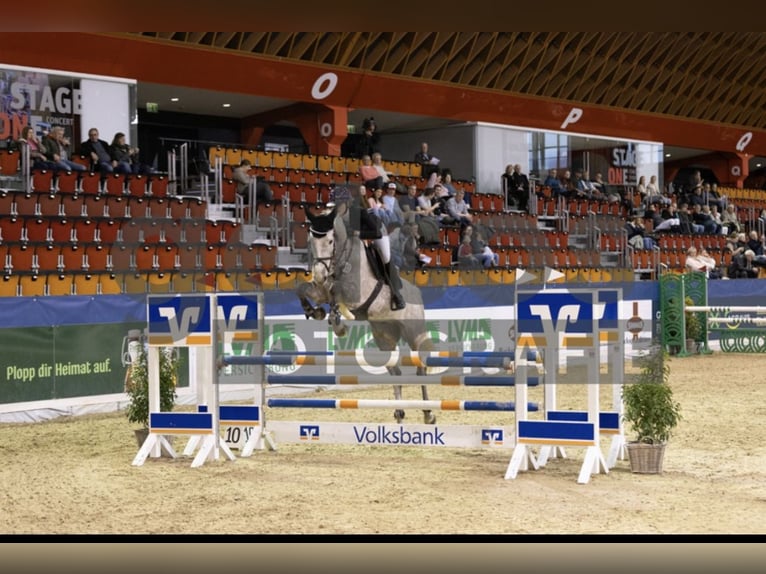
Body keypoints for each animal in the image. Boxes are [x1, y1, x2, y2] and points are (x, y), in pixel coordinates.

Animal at [296, 203, 437, 424]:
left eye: (330, 240)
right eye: (311, 240)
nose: (318, 276)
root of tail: (417, 292)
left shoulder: (357, 295)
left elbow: (337, 295)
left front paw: (339, 324)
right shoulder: (321, 290)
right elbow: (303, 290)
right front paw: (315, 311)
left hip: (414, 333)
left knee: (420, 368)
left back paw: (428, 413)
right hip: (384, 336)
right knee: (395, 371)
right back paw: (399, 413)